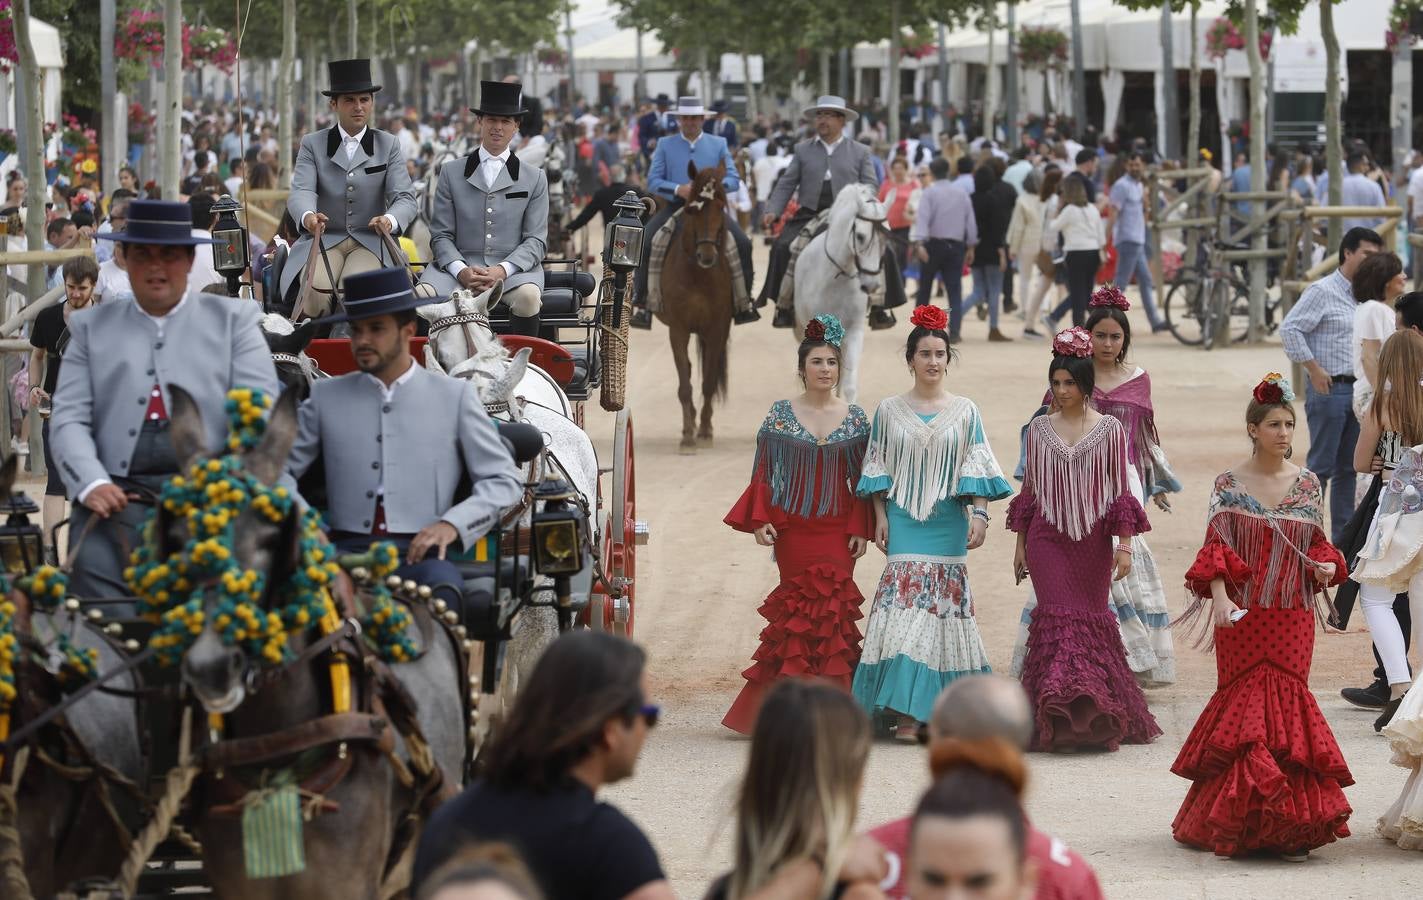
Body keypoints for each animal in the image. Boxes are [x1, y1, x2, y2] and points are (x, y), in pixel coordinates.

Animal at [660, 160, 734, 450]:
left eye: (721, 207)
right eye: (692, 209)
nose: (706, 255)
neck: (698, 276)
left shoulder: (716, 330)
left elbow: (709, 383)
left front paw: (703, 431)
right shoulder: (678, 329)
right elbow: (685, 384)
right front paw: (688, 434)